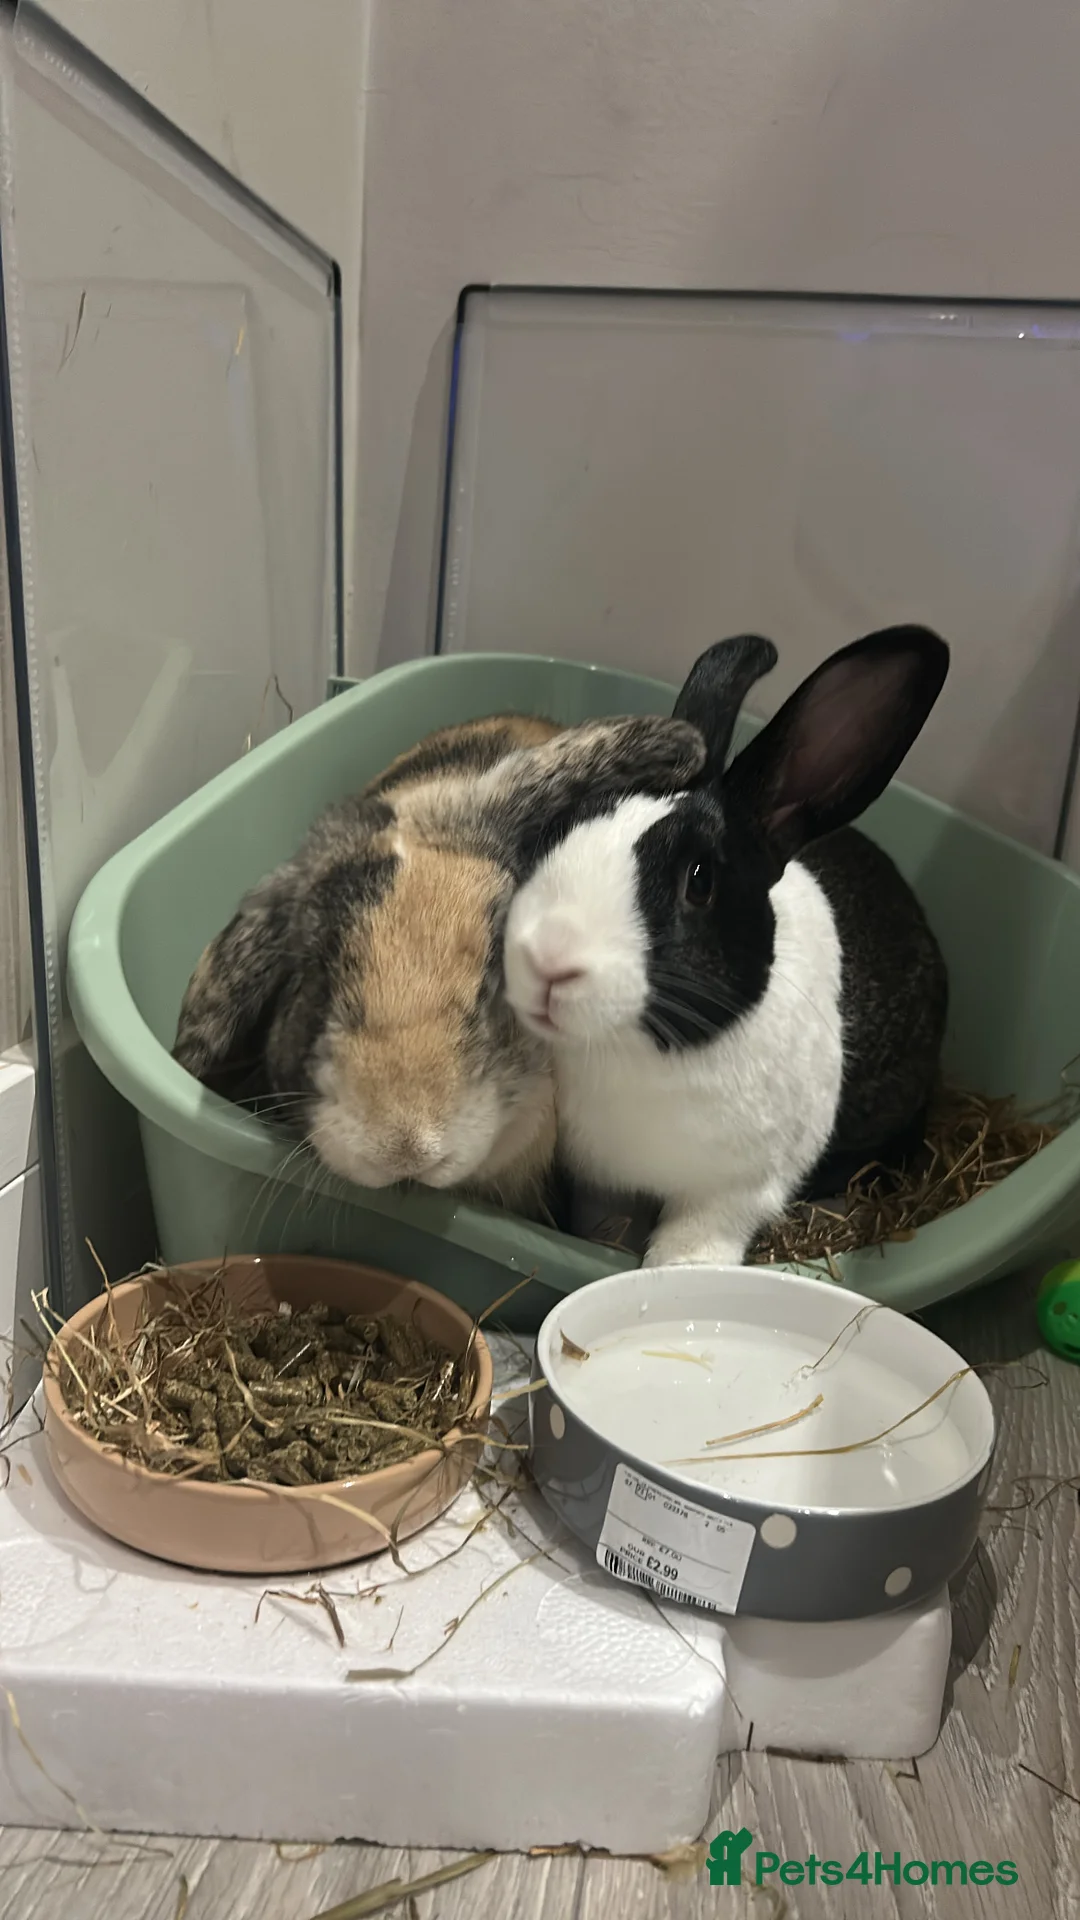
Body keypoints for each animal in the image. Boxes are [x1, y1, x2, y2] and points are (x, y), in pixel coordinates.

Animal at [503, 625, 950, 1267]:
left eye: (699, 881)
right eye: (557, 830)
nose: (545, 961)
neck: (637, 1052)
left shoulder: (736, 1192)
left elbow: (693, 1244)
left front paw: (675, 1271)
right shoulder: (600, 1182)